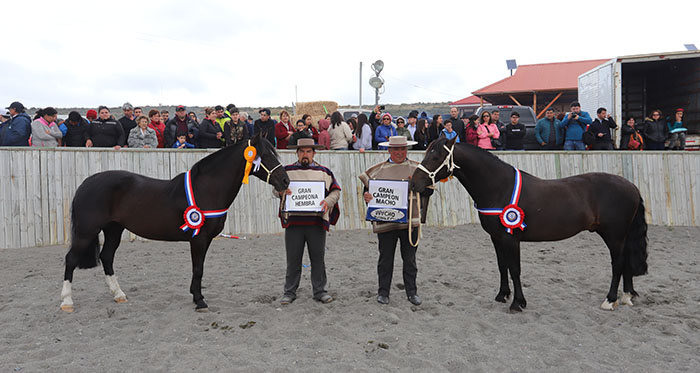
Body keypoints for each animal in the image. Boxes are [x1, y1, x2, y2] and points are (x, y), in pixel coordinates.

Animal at [60, 134, 288, 310]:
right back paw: (67, 302)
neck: (206, 189)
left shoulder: (206, 239)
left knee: (106, 257)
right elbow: (198, 268)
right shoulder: (198, 238)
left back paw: (119, 295)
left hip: (114, 230)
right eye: (266, 155)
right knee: (71, 259)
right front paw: (200, 301)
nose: (285, 181)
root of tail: (86, 183)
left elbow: (200, 268)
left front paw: (196, 296)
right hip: (86, 232)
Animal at [410, 137, 652, 310]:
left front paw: (518, 303)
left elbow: (515, 269)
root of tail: (632, 186)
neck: (499, 187)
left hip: (614, 235)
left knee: (618, 264)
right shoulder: (496, 237)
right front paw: (502, 295)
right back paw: (627, 297)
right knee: (626, 262)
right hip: (621, 235)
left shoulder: (511, 237)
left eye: (435, 157)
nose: (414, 183)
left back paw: (610, 300)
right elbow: (502, 266)